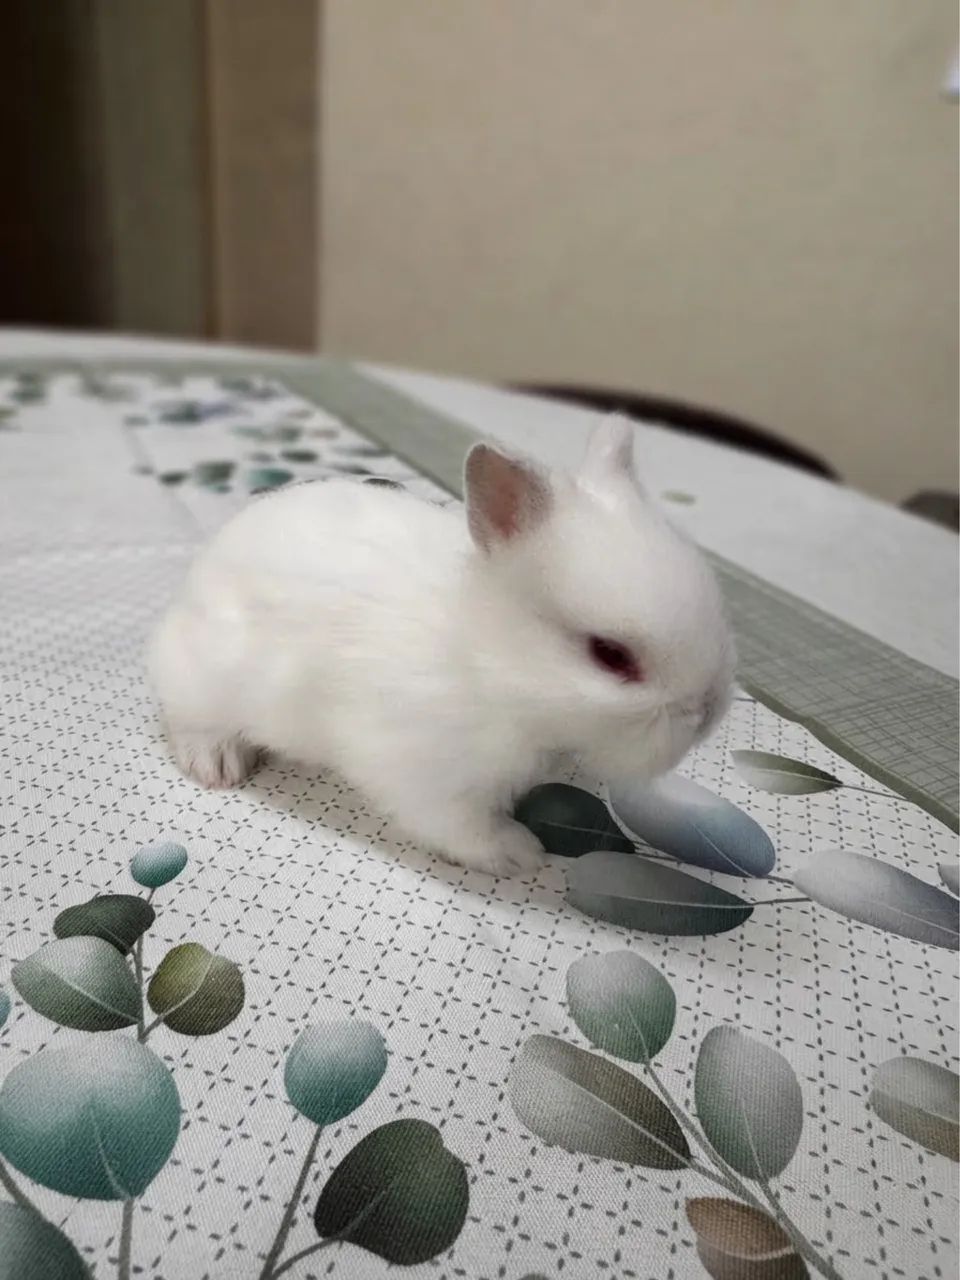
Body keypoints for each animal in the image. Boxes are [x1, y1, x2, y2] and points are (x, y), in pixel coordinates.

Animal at [147, 417, 734, 877]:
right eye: (609, 655)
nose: (706, 714)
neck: (489, 661)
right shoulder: (423, 769)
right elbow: (461, 827)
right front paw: (520, 854)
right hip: (205, 678)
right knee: (187, 716)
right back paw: (218, 764)